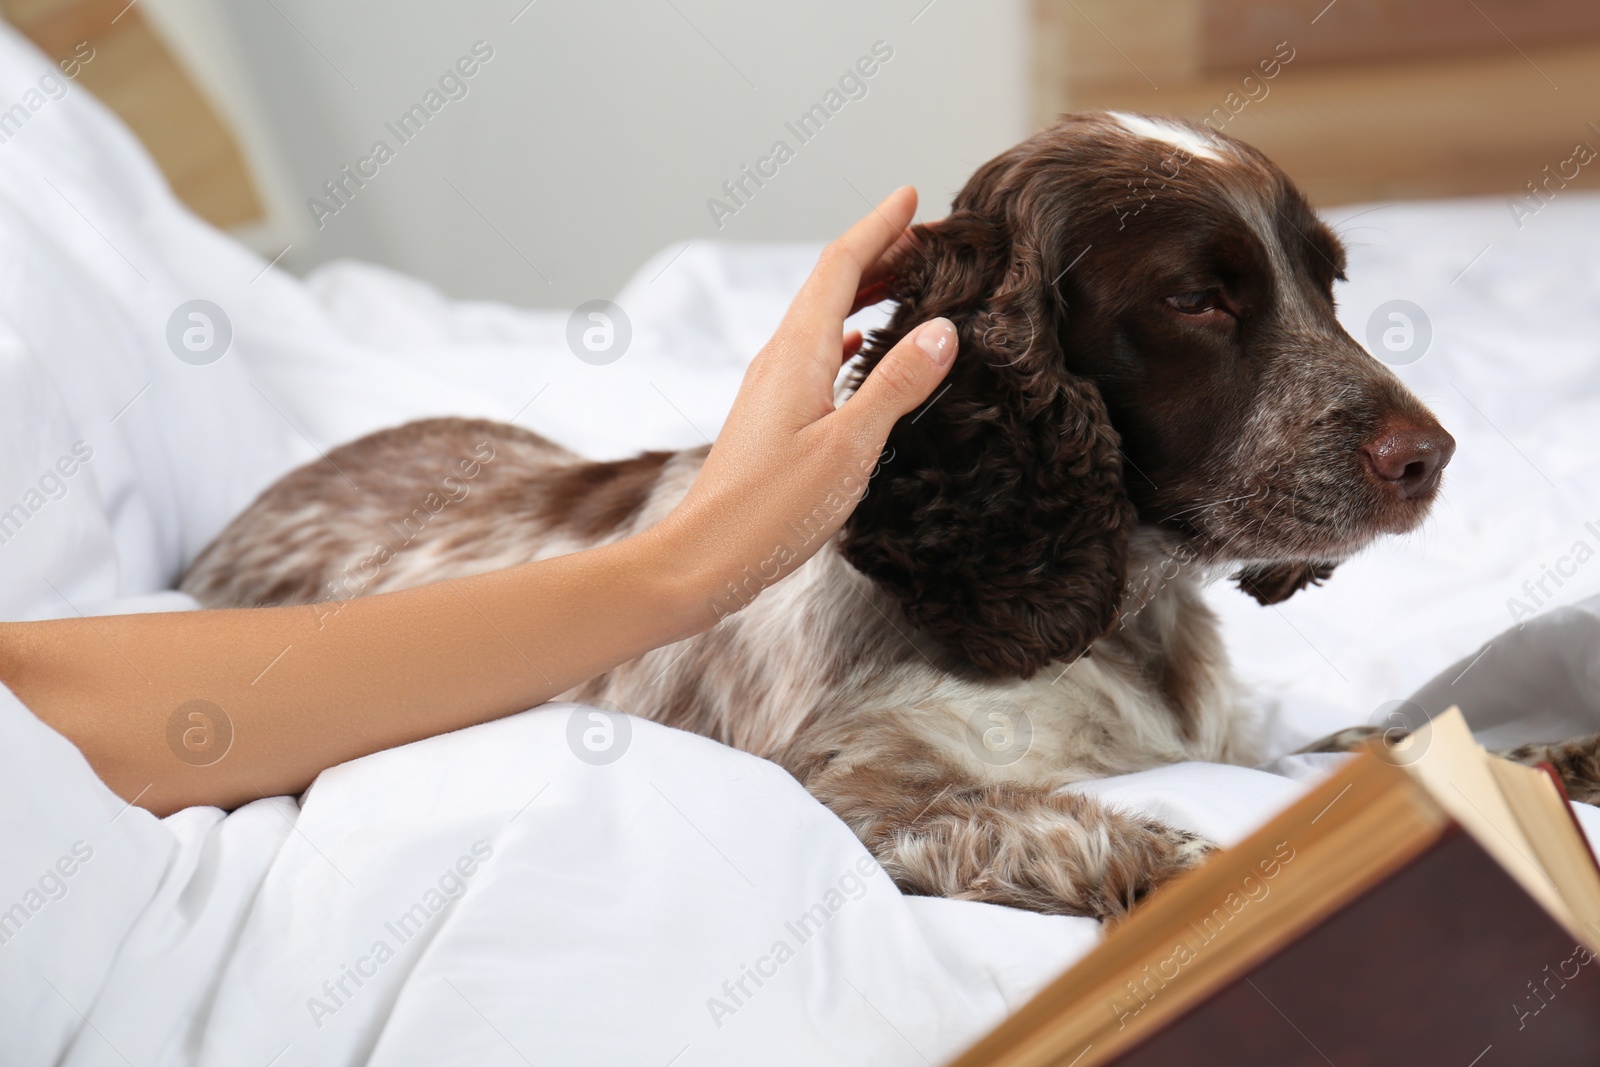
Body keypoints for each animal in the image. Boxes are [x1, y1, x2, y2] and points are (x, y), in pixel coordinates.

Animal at [190, 115, 1574, 921]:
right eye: (1195, 300)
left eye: (1325, 284)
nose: (1428, 457)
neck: (1119, 610)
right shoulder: (844, 776)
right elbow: (1026, 819)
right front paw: (1188, 862)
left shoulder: (1236, 734)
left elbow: (1362, 740)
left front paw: (1532, 759)